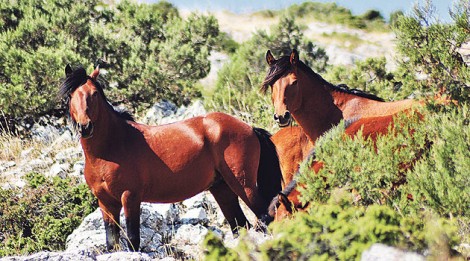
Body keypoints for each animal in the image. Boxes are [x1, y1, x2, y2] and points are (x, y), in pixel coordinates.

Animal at [58, 64, 280, 250]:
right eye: (70, 95)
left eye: (94, 94)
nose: (85, 127)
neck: (110, 151)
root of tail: (249, 128)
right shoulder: (106, 203)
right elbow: (112, 242)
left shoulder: (130, 197)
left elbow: (133, 239)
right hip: (222, 189)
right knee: (241, 226)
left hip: (244, 185)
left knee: (265, 218)